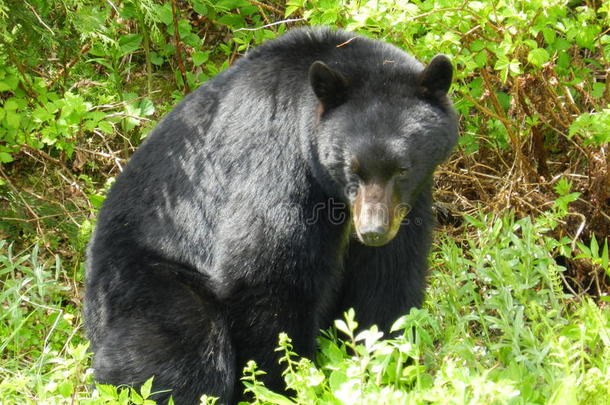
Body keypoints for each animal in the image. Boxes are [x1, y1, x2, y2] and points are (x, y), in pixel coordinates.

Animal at [85, 26, 456, 402]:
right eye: (351, 168)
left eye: (402, 169)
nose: (373, 231)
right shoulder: (277, 165)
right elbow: (265, 273)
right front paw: (287, 383)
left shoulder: (407, 205)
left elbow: (389, 275)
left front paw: (387, 365)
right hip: (143, 280)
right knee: (181, 341)